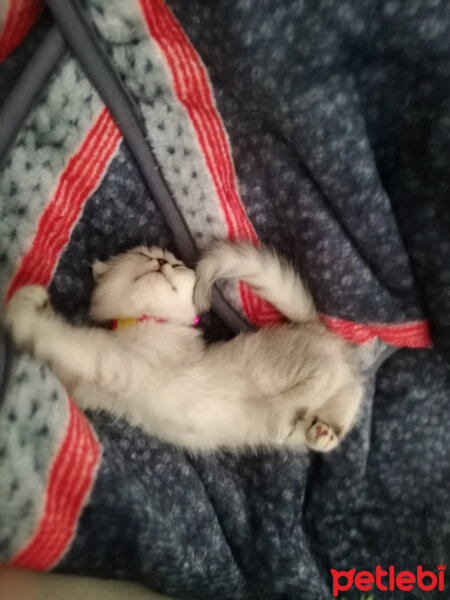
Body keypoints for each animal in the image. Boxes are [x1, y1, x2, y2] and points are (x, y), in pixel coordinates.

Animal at [4, 241, 362, 452]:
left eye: (176, 267)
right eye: (143, 256)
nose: (161, 263)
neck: (147, 322)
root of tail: (310, 324)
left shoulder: (118, 362)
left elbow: (71, 341)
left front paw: (22, 316)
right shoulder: (89, 389)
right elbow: (68, 369)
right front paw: (34, 303)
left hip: (278, 368)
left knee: (329, 374)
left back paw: (284, 415)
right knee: (346, 392)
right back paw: (322, 432)